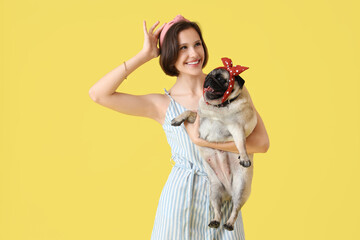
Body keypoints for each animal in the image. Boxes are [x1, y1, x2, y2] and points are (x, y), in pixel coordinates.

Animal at [171, 57, 258, 231]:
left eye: (221, 79)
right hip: (214, 191)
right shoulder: (198, 120)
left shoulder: (237, 127)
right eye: (209, 75)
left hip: (240, 189)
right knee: (217, 210)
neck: (219, 108)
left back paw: (229, 223)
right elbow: (189, 111)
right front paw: (178, 119)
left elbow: (241, 143)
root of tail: (229, 193)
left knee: (235, 209)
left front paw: (244, 157)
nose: (208, 79)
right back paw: (215, 221)